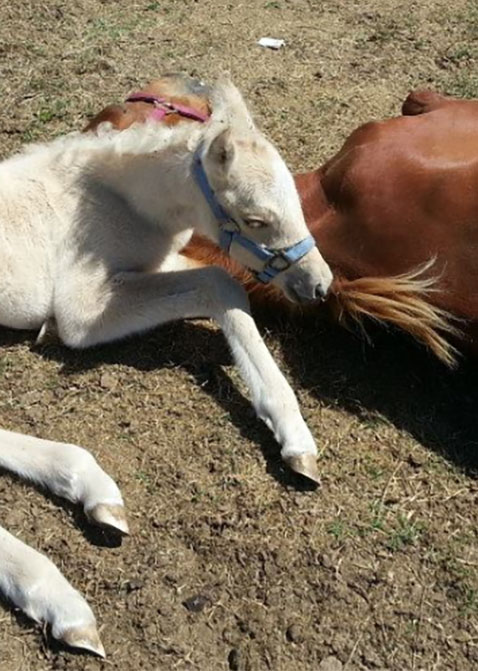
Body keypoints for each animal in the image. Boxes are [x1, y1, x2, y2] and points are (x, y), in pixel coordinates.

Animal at [0, 79, 332, 656]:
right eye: (256, 220)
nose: (319, 284)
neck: (122, 203)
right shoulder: (81, 312)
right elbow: (219, 283)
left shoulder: (160, 266)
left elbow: (226, 288)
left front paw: (294, 438)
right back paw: (60, 599)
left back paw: (92, 494)